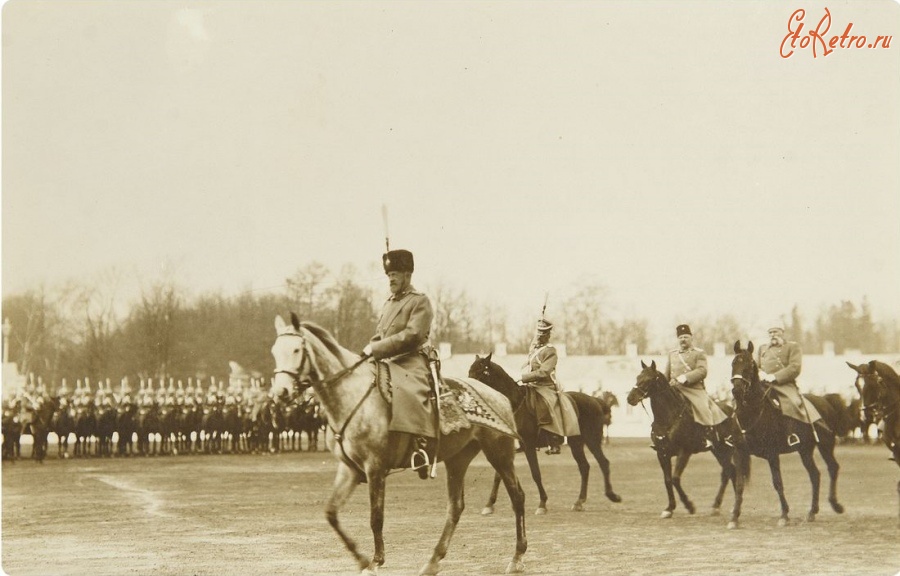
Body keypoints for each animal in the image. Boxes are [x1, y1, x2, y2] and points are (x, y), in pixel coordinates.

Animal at [268, 316, 528, 576]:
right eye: (274, 351)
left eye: (297, 350)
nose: (280, 393)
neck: (354, 397)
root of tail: (500, 396)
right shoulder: (349, 469)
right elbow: (331, 513)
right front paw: (361, 559)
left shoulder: (375, 468)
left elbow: (376, 517)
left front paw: (375, 561)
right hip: (458, 459)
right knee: (455, 507)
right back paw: (433, 561)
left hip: (499, 454)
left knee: (517, 497)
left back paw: (517, 557)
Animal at [468, 354, 624, 516]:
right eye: (470, 371)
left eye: (481, 372)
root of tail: (595, 400)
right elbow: (499, 475)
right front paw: (490, 504)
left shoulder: (529, 446)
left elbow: (535, 473)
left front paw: (542, 503)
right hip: (576, 443)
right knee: (584, 467)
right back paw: (579, 501)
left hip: (592, 440)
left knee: (603, 462)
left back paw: (612, 495)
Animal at [624, 362, 744, 528]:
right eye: (637, 377)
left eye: (648, 379)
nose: (630, 398)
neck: (668, 418)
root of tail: (732, 410)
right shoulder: (662, 454)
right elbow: (668, 480)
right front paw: (669, 508)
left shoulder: (684, 452)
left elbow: (675, 478)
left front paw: (689, 505)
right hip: (718, 451)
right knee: (729, 471)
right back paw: (721, 507)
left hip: (727, 449)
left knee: (731, 472)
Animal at [732, 342, 844, 528]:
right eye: (733, 363)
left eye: (749, 365)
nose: (737, 390)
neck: (754, 411)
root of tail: (825, 400)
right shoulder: (740, 453)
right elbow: (739, 484)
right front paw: (734, 517)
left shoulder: (772, 454)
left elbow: (778, 483)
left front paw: (784, 515)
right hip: (805, 450)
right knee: (815, 475)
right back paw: (812, 512)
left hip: (825, 445)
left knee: (833, 468)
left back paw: (835, 505)